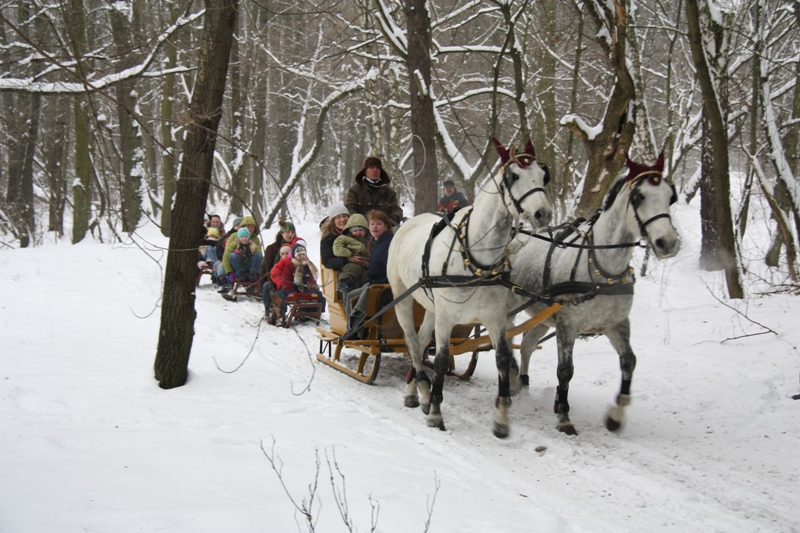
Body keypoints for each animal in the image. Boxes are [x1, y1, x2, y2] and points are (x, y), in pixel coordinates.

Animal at [386, 141, 552, 436]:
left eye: (544, 176)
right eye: (513, 176)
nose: (542, 214)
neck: (477, 261)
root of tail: (407, 223)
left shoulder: (495, 317)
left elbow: (502, 358)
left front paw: (502, 418)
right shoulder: (447, 318)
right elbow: (441, 359)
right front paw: (436, 413)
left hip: (431, 305)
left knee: (421, 340)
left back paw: (416, 392)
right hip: (402, 297)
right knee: (411, 340)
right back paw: (423, 389)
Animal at [510, 152, 680, 434]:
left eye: (670, 195)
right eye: (639, 196)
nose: (667, 242)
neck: (603, 270)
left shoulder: (616, 323)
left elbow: (629, 361)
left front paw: (616, 414)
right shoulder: (568, 324)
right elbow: (565, 370)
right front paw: (564, 416)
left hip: (543, 316)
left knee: (527, 343)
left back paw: (522, 384)